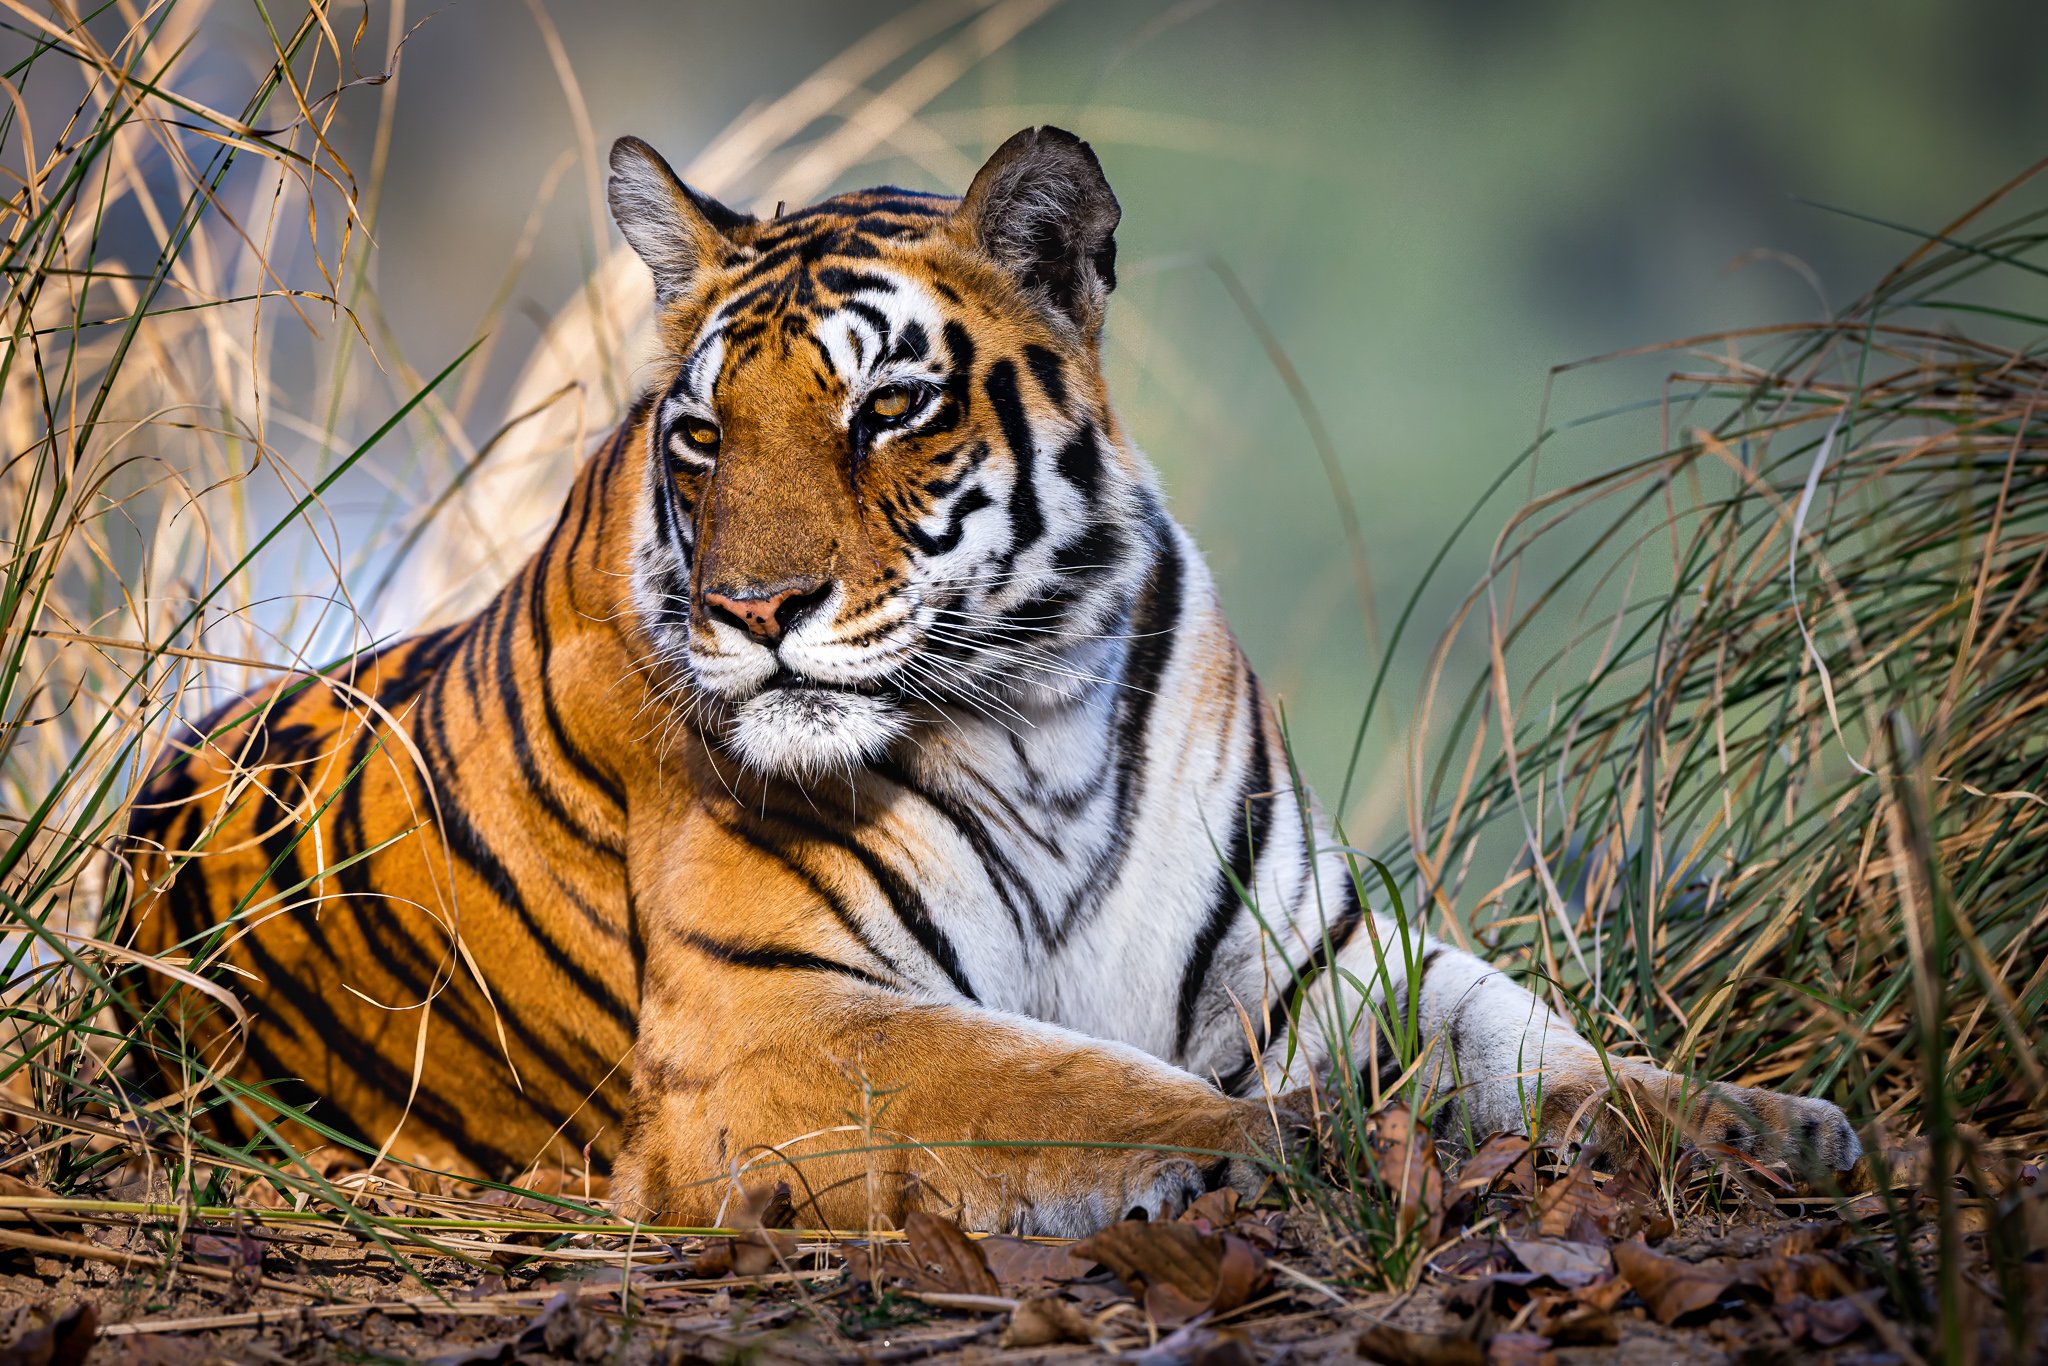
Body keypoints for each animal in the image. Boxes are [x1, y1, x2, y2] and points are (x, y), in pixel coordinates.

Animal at [123, 127, 1860, 1235]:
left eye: (887, 408)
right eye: (703, 436)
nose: (753, 609)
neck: (1036, 712)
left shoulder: (1321, 949)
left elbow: (1545, 1050)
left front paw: (1763, 1121)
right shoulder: (775, 1018)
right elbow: (1092, 1090)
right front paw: (1309, 1147)